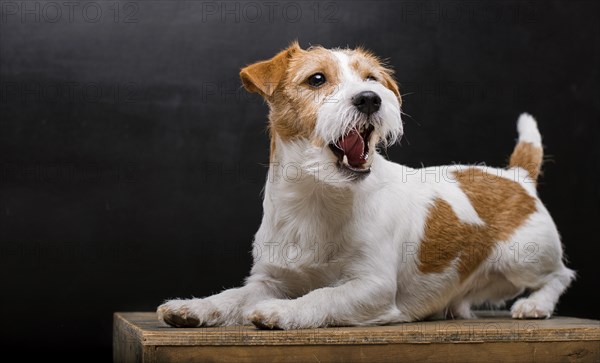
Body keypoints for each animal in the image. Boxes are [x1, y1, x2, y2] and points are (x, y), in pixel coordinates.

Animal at [157, 42, 576, 330]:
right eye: (317, 79)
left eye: (372, 79)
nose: (371, 99)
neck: (317, 197)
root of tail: (517, 176)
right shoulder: (269, 279)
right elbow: (232, 296)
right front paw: (194, 306)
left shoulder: (372, 288)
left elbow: (323, 295)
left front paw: (284, 310)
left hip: (526, 256)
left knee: (559, 276)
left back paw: (535, 305)